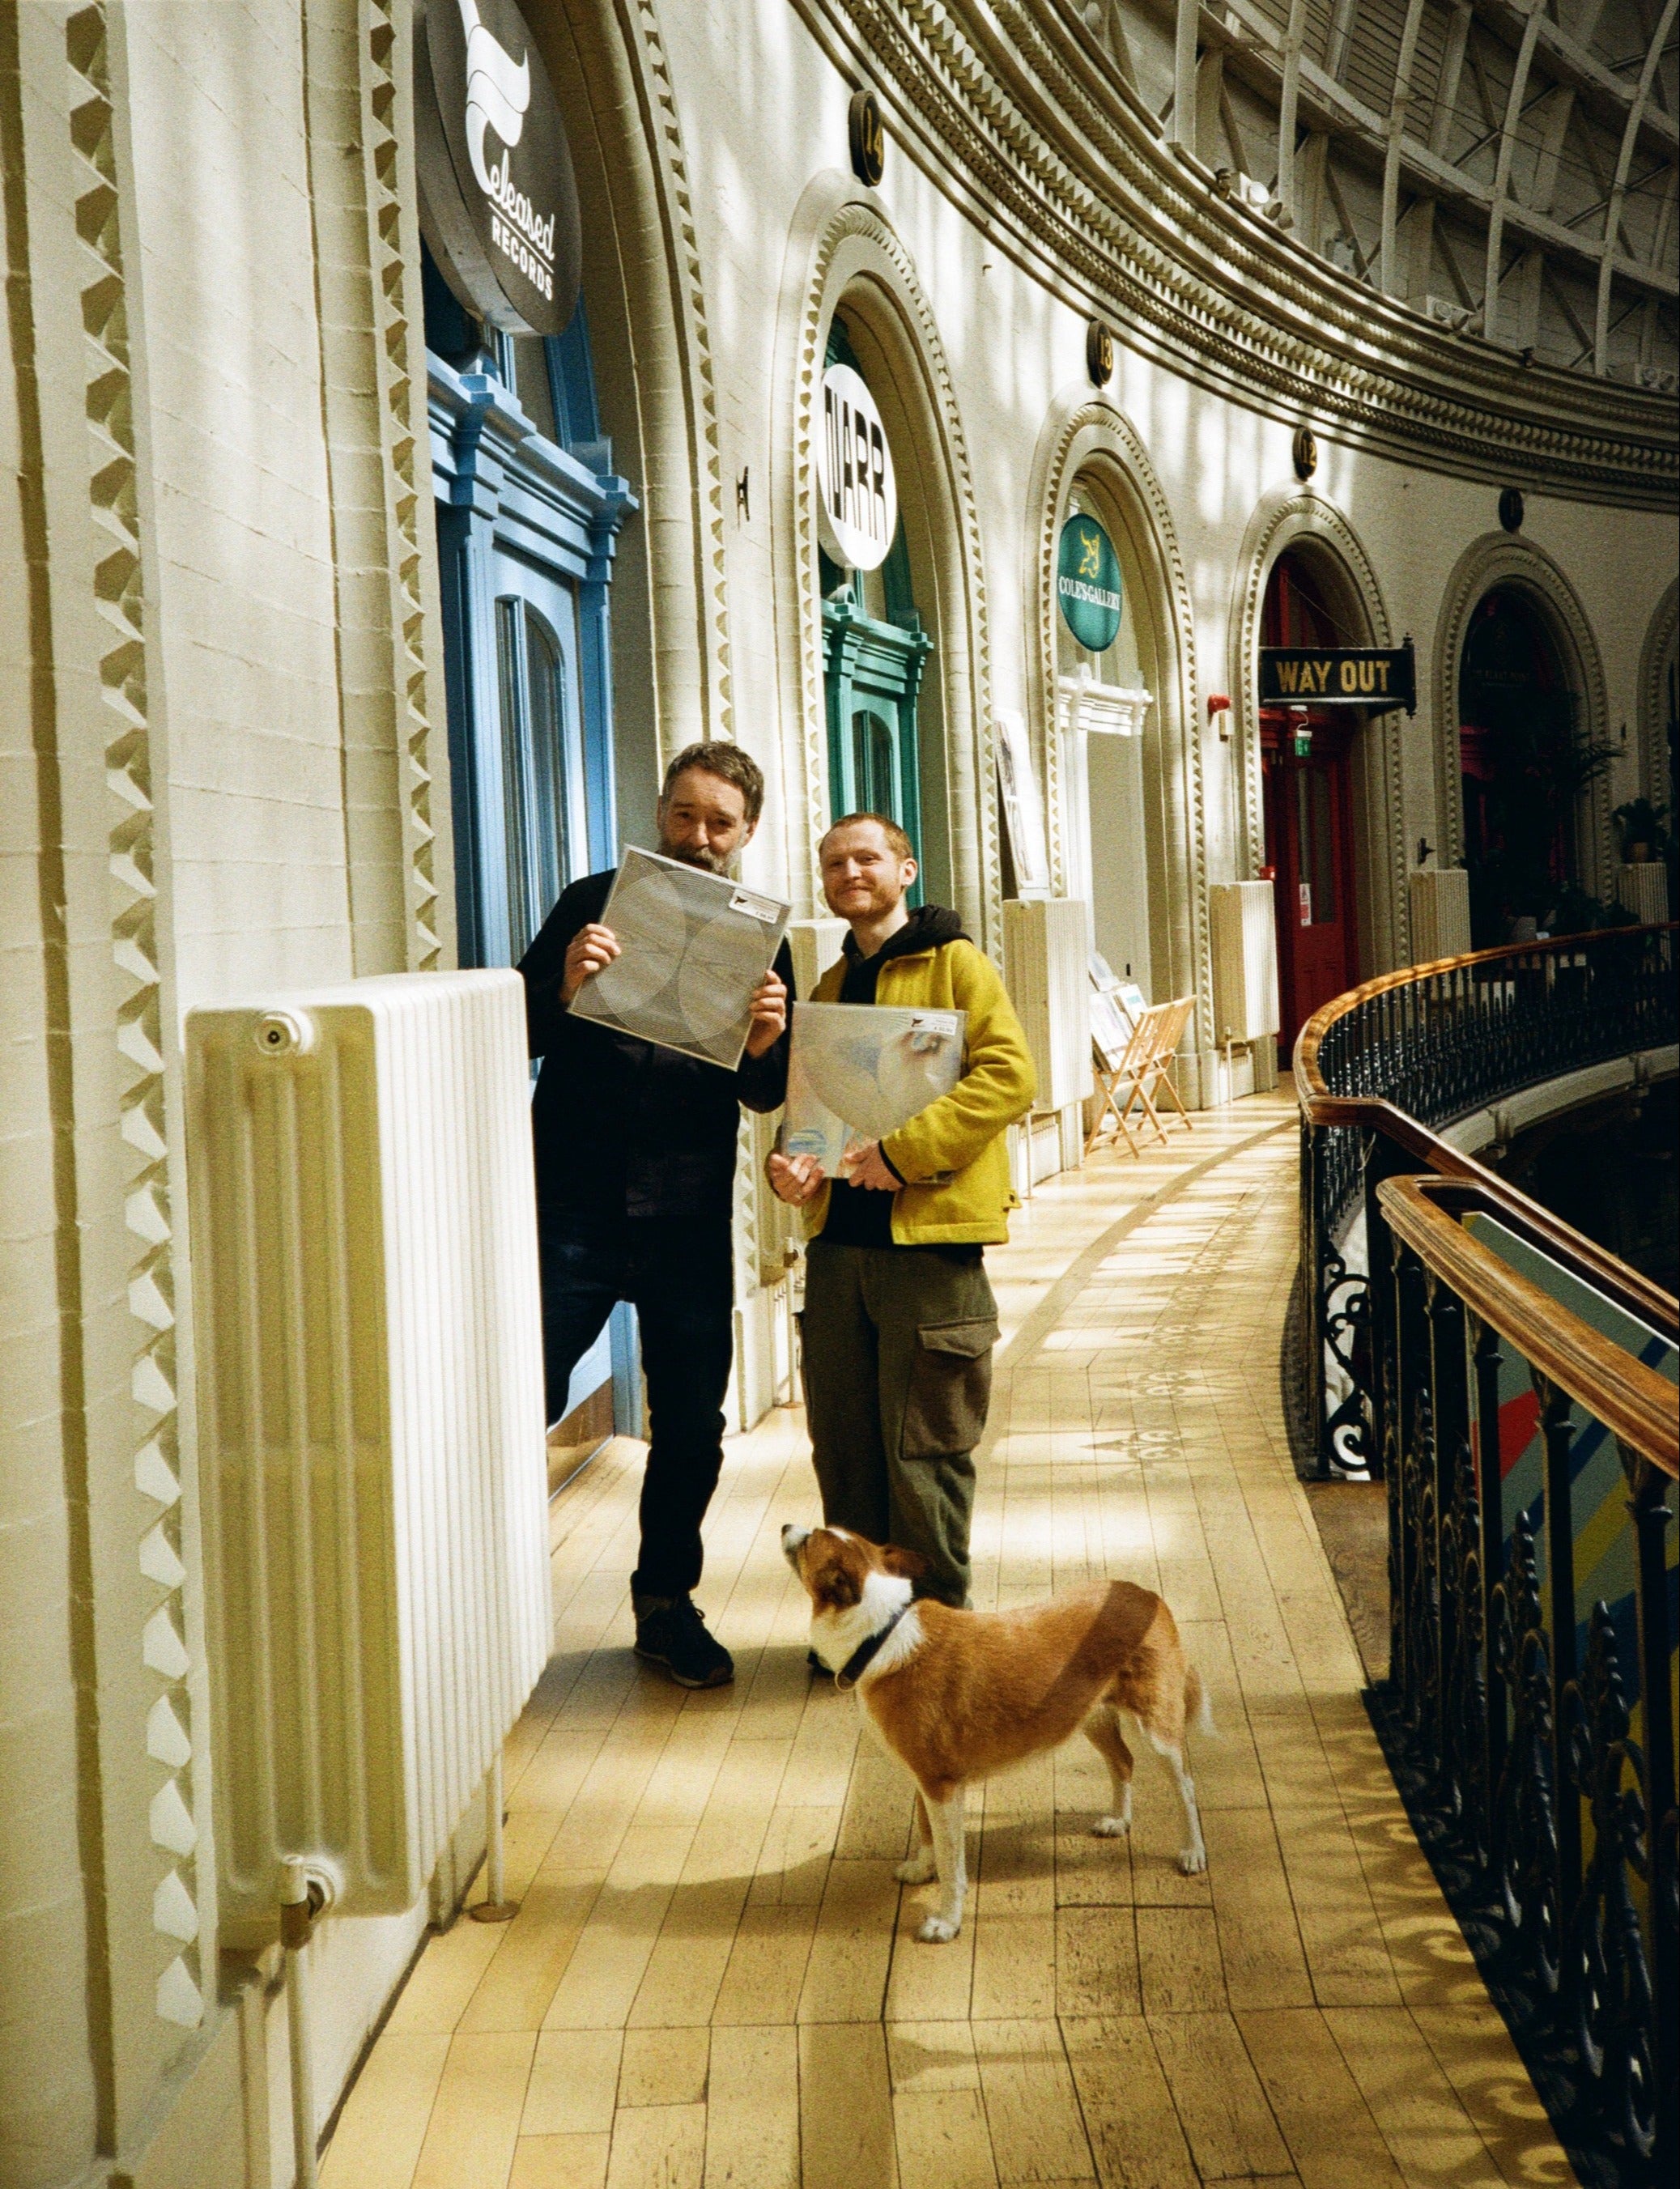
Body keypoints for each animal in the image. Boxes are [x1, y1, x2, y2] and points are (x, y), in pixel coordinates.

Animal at [780, 1532, 1218, 1944]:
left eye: (809, 1539)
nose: (785, 1527)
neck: (881, 1635)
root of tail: (1145, 1594)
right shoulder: (925, 1780)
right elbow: (926, 1833)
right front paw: (922, 1869)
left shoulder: (941, 1787)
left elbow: (951, 1863)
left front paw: (947, 1922)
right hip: (1089, 1716)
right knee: (1123, 1761)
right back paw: (1119, 1821)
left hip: (1156, 1728)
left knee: (1186, 1786)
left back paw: (1193, 1852)